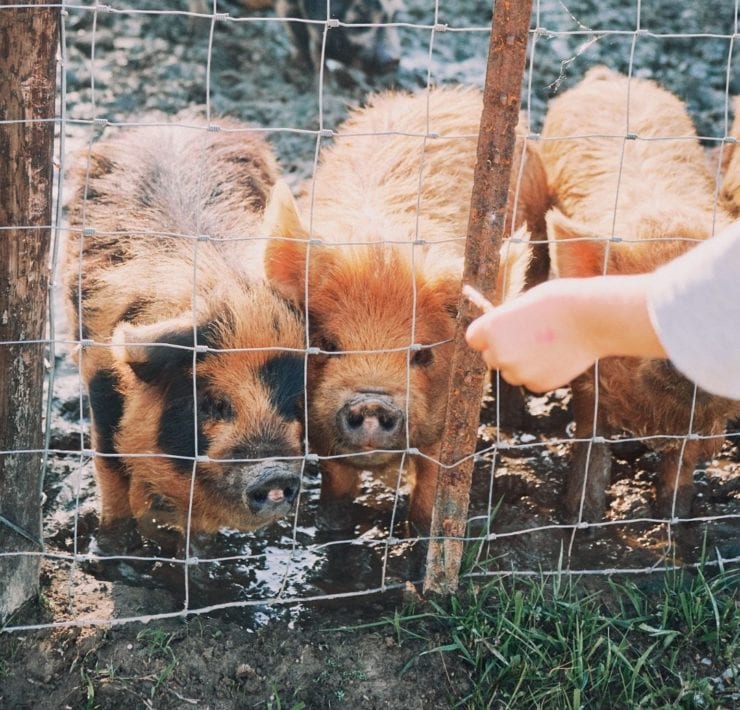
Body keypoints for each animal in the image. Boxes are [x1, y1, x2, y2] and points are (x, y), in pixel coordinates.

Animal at [64, 113, 307, 538]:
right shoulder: (100, 380)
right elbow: (110, 467)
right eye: (215, 403)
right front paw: (111, 538)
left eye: (292, 402)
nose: (274, 473)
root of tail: (166, 122)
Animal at [261, 86, 550, 530]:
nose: (372, 402)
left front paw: (419, 533)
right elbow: (337, 476)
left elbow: (433, 484)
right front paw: (331, 523)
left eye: (423, 353)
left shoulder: (448, 417)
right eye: (327, 345)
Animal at [540, 67, 740, 522]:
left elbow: (681, 462)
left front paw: (672, 519)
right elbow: (591, 435)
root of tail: (608, 77)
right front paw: (580, 517)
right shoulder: (587, 372)